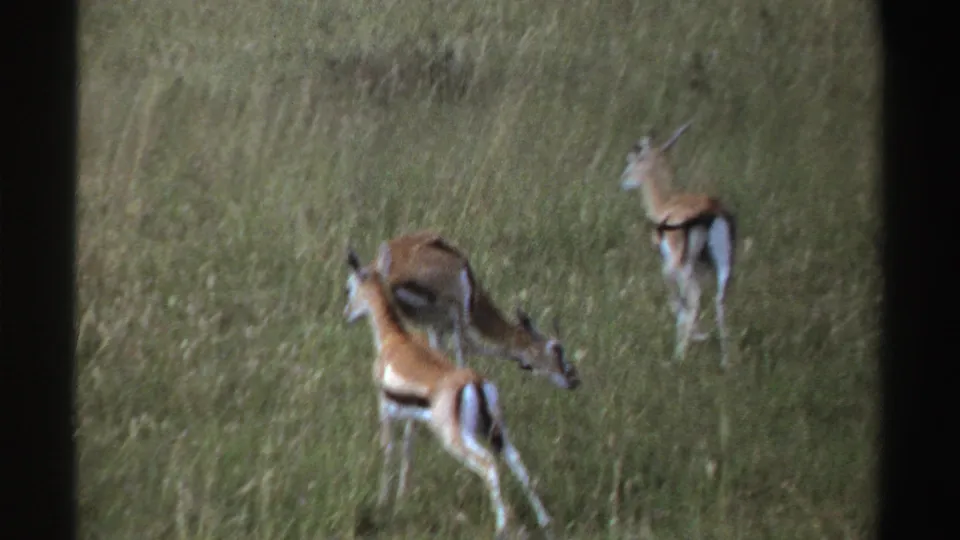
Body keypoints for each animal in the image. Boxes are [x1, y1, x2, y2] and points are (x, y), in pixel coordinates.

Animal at [343, 248, 555, 539]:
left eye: (349, 287)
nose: (346, 315)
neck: (394, 339)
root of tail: (475, 383)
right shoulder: (413, 416)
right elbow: (408, 449)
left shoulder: (385, 409)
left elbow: (389, 450)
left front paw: (384, 502)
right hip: (497, 433)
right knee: (517, 463)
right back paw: (545, 521)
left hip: (457, 439)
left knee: (488, 464)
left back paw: (502, 526)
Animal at [366, 230, 580, 390]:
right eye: (557, 349)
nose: (573, 379)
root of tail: (390, 267)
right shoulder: (457, 320)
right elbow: (467, 349)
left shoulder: (435, 327)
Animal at [619, 121, 737, 366]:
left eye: (633, 159)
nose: (623, 181)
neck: (667, 203)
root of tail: (711, 211)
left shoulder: (669, 264)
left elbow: (678, 304)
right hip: (723, 268)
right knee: (720, 301)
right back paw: (725, 362)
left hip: (681, 266)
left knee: (692, 299)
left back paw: (682, 353)